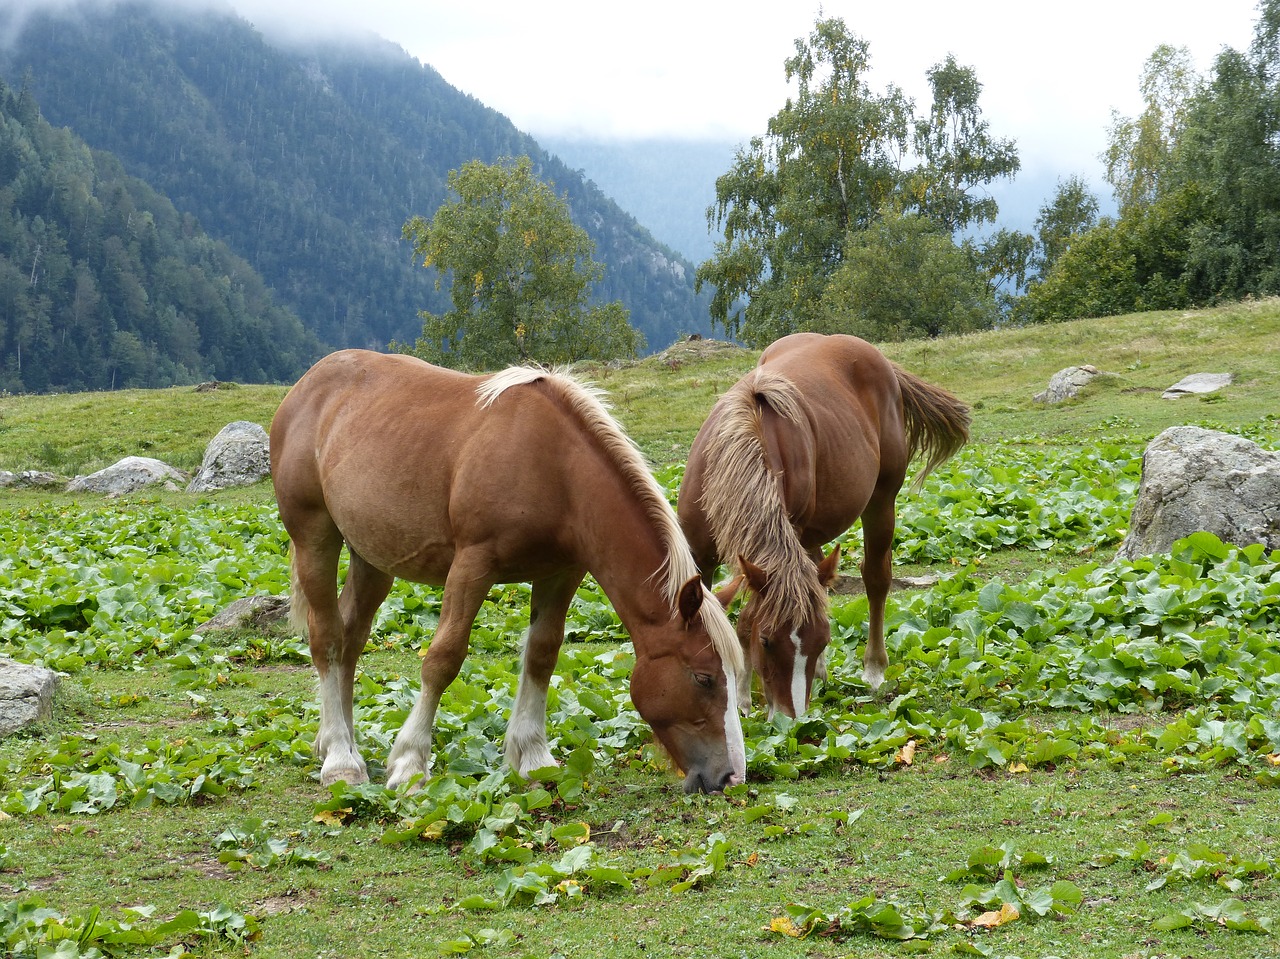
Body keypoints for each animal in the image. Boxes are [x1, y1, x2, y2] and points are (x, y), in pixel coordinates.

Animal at [273, 350, 747, 793]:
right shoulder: (472, 566)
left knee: (351, 639)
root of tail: (308, 386)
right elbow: (443, 659)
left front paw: (533, 757)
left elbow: (542, 654)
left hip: (371, 559)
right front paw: (410, 763)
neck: (554, 467)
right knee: (327, 639)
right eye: (704, 678)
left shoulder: (562, 572)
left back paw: (339, 743)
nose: (730, 776)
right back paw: (340, 759)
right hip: (315, 539)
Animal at [680, 332, 967, 717]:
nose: (792, 721)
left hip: (880, 501)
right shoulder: (699, 557)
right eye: (766, 640)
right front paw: (737, 698)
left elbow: (746, 616)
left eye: (825, 638)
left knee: (876, 578)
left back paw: (873, 668)